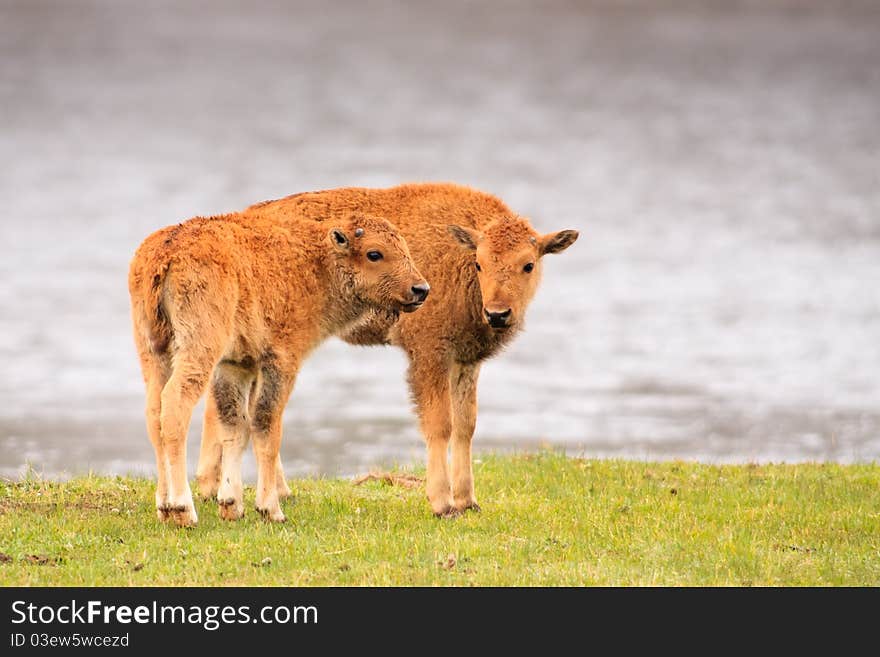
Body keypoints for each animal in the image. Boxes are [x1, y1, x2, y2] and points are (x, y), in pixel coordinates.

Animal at [131, 211, 430, 528]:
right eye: (374, 253)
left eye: (404, 249)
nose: (420, 289)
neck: (315, 263)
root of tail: (166, 253)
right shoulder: (282, 362)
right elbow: (267, 427)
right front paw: (270, 509)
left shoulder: (235, 365)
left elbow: (236, 426)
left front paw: (232, 505)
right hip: (197, 351)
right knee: (175, 407)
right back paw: (183, 509)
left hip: (154, 354)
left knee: (154, 414)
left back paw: (164, 507)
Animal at [203, 182, 580, 516]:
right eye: (480, 263)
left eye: (528, 264)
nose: (498, 314)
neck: (458, 260)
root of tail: (249, 216)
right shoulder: (429, 355)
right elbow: (440, 424)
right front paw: (442, 504)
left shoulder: (466, 361)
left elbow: (466, 425)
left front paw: (468, 501)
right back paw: (220, 489)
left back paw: (260, 491)